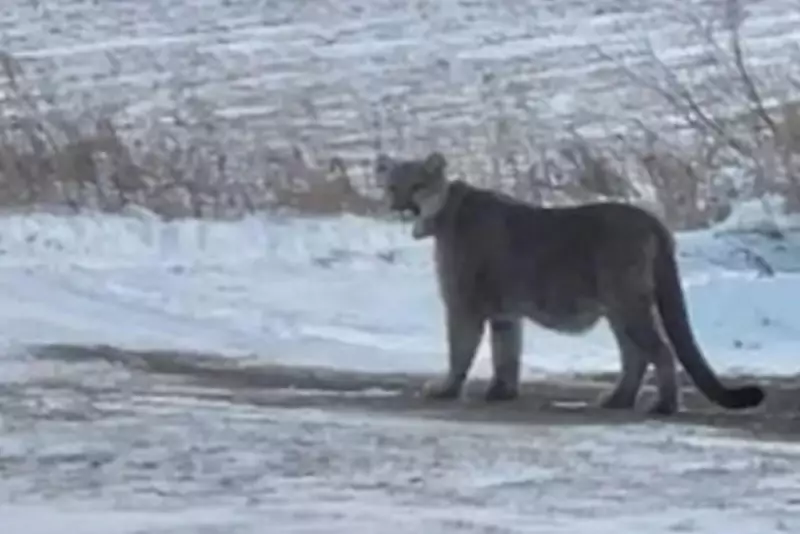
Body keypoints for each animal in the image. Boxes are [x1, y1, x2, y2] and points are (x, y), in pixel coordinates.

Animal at [375, 150, 764, 415]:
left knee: (658, 350)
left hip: (626, 301)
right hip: (618, 307)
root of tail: (651, 220)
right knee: (635, 355)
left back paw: (662, 406)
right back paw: (617, 399)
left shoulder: (462, 303)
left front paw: (445, 389)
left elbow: (460, 350)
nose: (399, 207)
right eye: (392, 186)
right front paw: (502, 391)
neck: (445, 212)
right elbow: (506, 352)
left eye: (417, 186)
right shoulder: (505, 312)